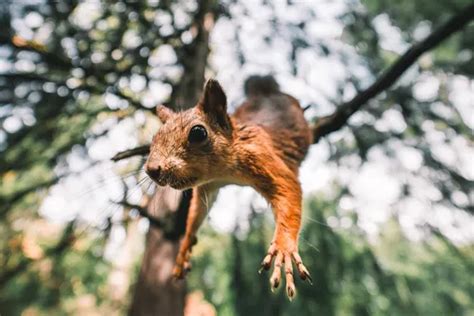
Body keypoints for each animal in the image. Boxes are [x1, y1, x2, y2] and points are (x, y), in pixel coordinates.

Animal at [146, 75, 312, 300]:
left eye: (198, 133)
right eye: (154, 138)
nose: (151, 170)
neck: (223, 171)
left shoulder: (262, 157)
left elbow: (288, 187)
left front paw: (284, 248)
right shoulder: (208, 187)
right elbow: (197, 212)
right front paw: (184, 247)